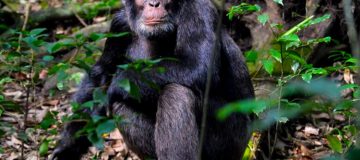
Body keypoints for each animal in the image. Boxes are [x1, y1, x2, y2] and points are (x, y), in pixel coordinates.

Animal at [50, 0, 255, 160]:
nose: (154, 3)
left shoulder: (199, 11)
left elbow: (199, 66)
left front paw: (116, 84)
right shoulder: (118, 25)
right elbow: (99, 75)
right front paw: (66, 148)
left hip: (232, 141)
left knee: (176, 93)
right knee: (122, 106)